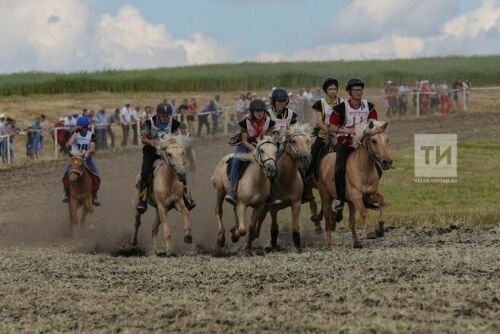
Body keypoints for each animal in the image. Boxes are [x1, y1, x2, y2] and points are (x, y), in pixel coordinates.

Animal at [252, 124, 310, 252]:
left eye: (307, 141)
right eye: (293, 141)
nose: (305, 157)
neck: (286, 180)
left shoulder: (296, 203)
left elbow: (295, 226)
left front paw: (298, 246)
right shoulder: (273, 207)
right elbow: (274, 228)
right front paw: (273, 245)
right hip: (263, 206)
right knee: (259, 218)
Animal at [318, 120, 392, 248]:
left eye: (387, 139)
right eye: (374, 141)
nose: (387, 161)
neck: (363, 169)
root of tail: (325, 158)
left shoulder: (369, 195)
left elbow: (382, 202)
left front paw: (380, 230)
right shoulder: (357, 197)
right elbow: (364, 212)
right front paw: (370, 232)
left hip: (350, 202)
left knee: (351, 221)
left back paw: (356, 242)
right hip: (326, 197)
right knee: (328, 220)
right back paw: (328, 244)